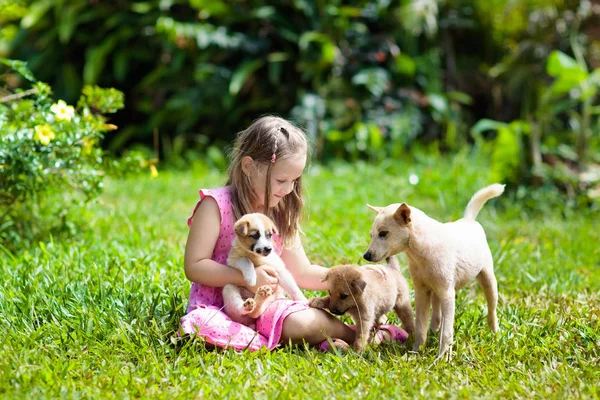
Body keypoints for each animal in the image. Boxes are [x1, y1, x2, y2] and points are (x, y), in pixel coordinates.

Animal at [364, 184, 504, 360]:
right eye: (372, 235)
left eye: (383, 233)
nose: (366, 256)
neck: (420, 252)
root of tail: (469, 220)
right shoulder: (421, 291)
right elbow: (420, 326)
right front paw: (416, 352)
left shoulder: (448, 294)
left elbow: (447, 331)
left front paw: (443, 358)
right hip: (436, 291)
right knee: (436, 314)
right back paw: (433, 330)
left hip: (487, 278)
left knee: (492, 309)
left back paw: (494, 332)